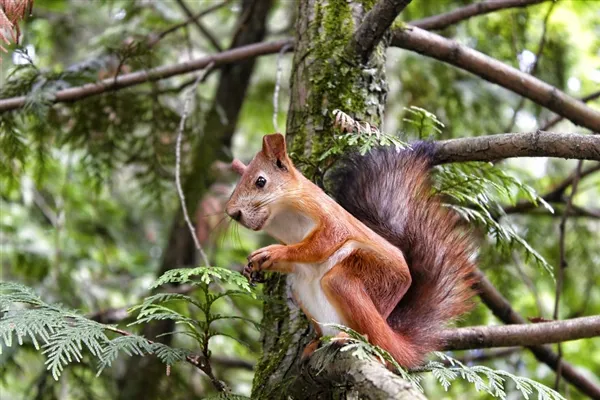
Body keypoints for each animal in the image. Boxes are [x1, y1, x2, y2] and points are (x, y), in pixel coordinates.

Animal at [225, 133, 478, 368]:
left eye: (261, 181)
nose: (232, 213)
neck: (283, 216)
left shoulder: (327, 215)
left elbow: (323, 242)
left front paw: (274, 252)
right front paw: (255, 265)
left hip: (365, 281)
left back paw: (353, 338)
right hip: (301, 292)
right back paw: (316, 343)